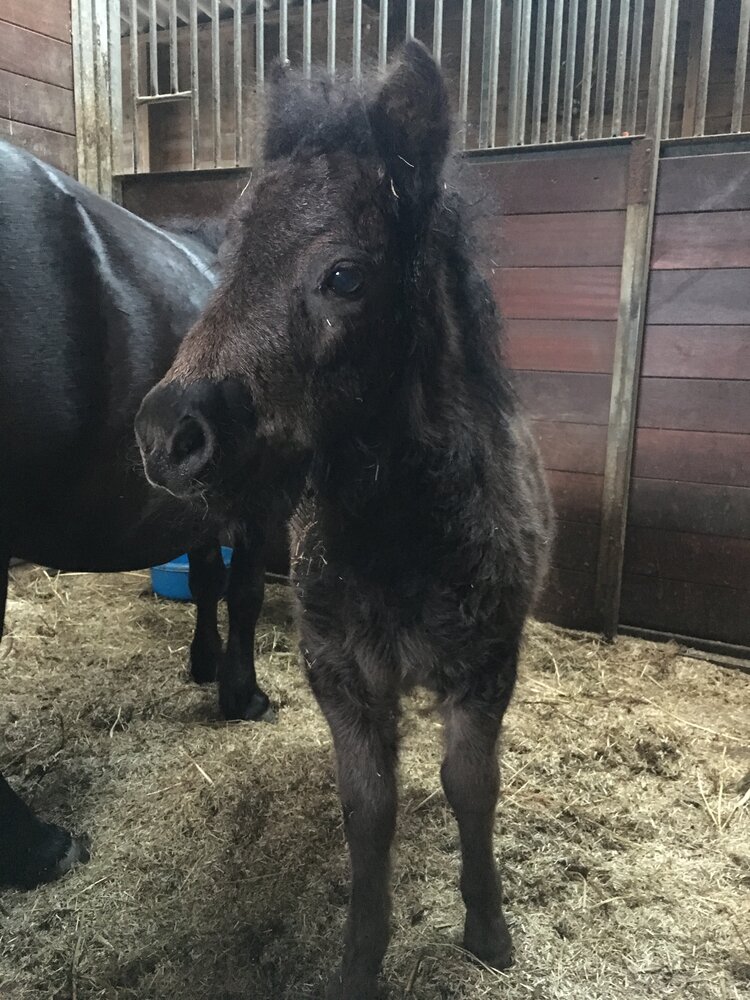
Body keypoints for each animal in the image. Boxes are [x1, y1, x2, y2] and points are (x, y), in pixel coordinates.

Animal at [136, 43, 553, 999]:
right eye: (228, 262)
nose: (166, 434)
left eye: (346, 276)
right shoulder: (343, 676)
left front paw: (489, 928)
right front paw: (362, 958)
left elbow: (471, 785)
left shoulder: (488, 666)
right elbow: (371, 808)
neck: (403, 539)